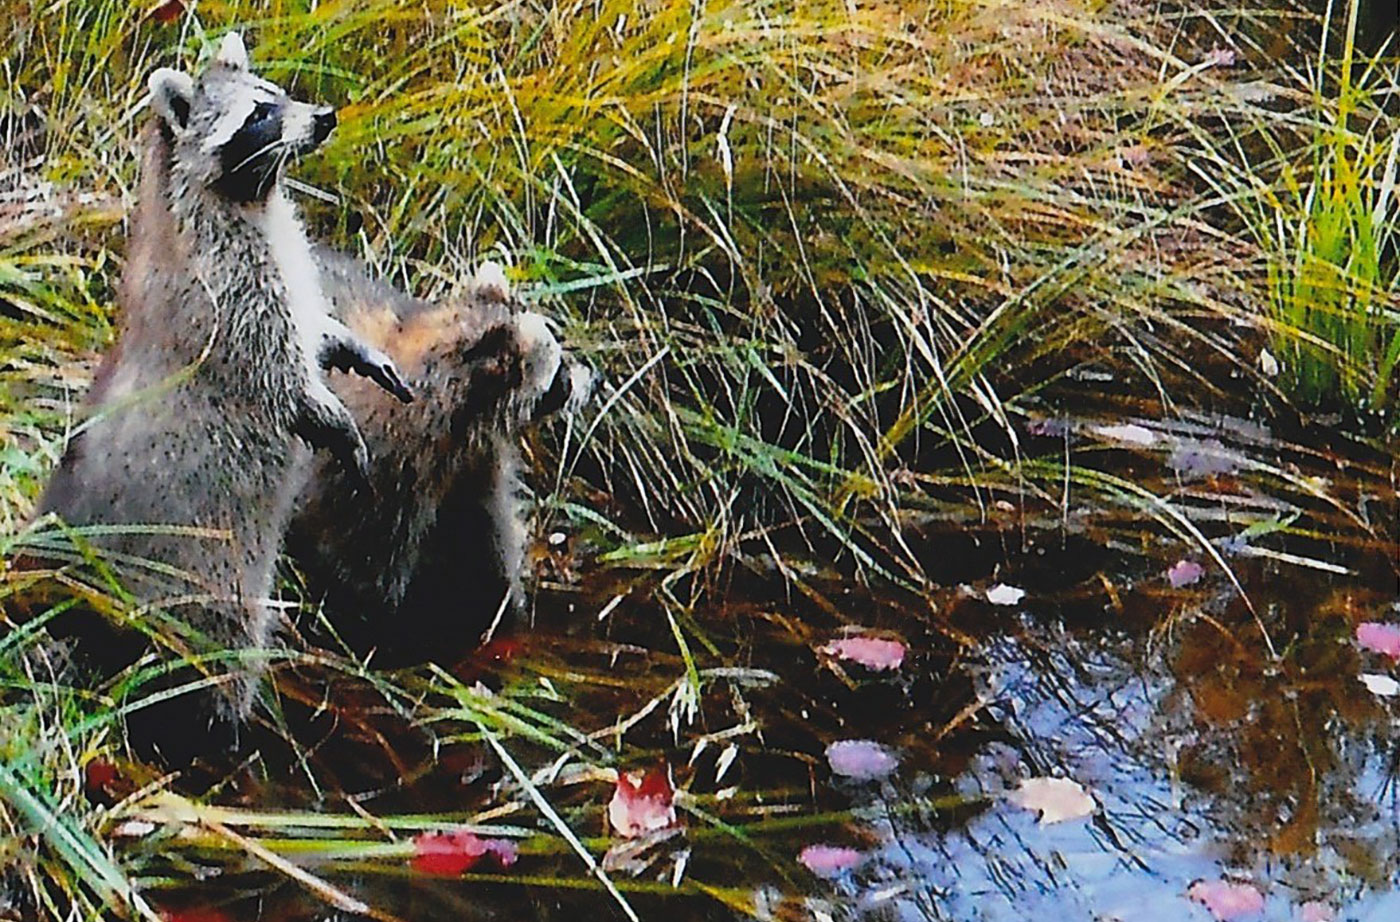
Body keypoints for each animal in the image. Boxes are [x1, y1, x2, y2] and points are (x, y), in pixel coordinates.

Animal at [34, 34, 408, 755]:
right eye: (259, 115)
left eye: (280, 93)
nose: (324, 117)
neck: (253, 199)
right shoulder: (223, 293)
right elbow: (278, 374)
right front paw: (328, 413)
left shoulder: (283, 262)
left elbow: (311, 327)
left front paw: (347, 346)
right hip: (191, 580)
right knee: (211, 649)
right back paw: (217, 727)